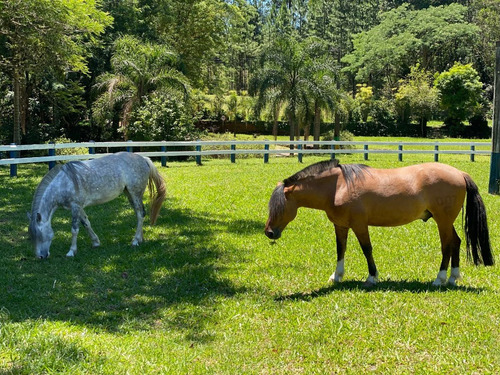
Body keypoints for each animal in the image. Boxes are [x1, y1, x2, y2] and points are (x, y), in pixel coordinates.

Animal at [27, 152, 166, 258]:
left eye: (40, 235)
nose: (41, 256)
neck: (63, 184)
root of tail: (143, 159)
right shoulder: (79, 207)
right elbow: (86, 223)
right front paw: (95, 242)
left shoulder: (75, 207)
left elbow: (74, 229)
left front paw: (71, 251)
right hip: (130, 194)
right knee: (139, 214)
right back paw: (140, 238)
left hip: (135, 193)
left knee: (140, 214)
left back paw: (135, 240)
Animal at [264, 160, 494, 286]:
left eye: (280, 206)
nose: (269, 232)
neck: (338, 186)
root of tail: (460, 173)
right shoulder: (341, 225)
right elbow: (341, 250)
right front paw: (337, 276)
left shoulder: (359, 225)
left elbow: (367, 249)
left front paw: (372, 277)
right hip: (445, 221)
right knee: (455, 242)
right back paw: (454, 277)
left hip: (442, 221)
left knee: (447, 245)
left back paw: (439, 279)